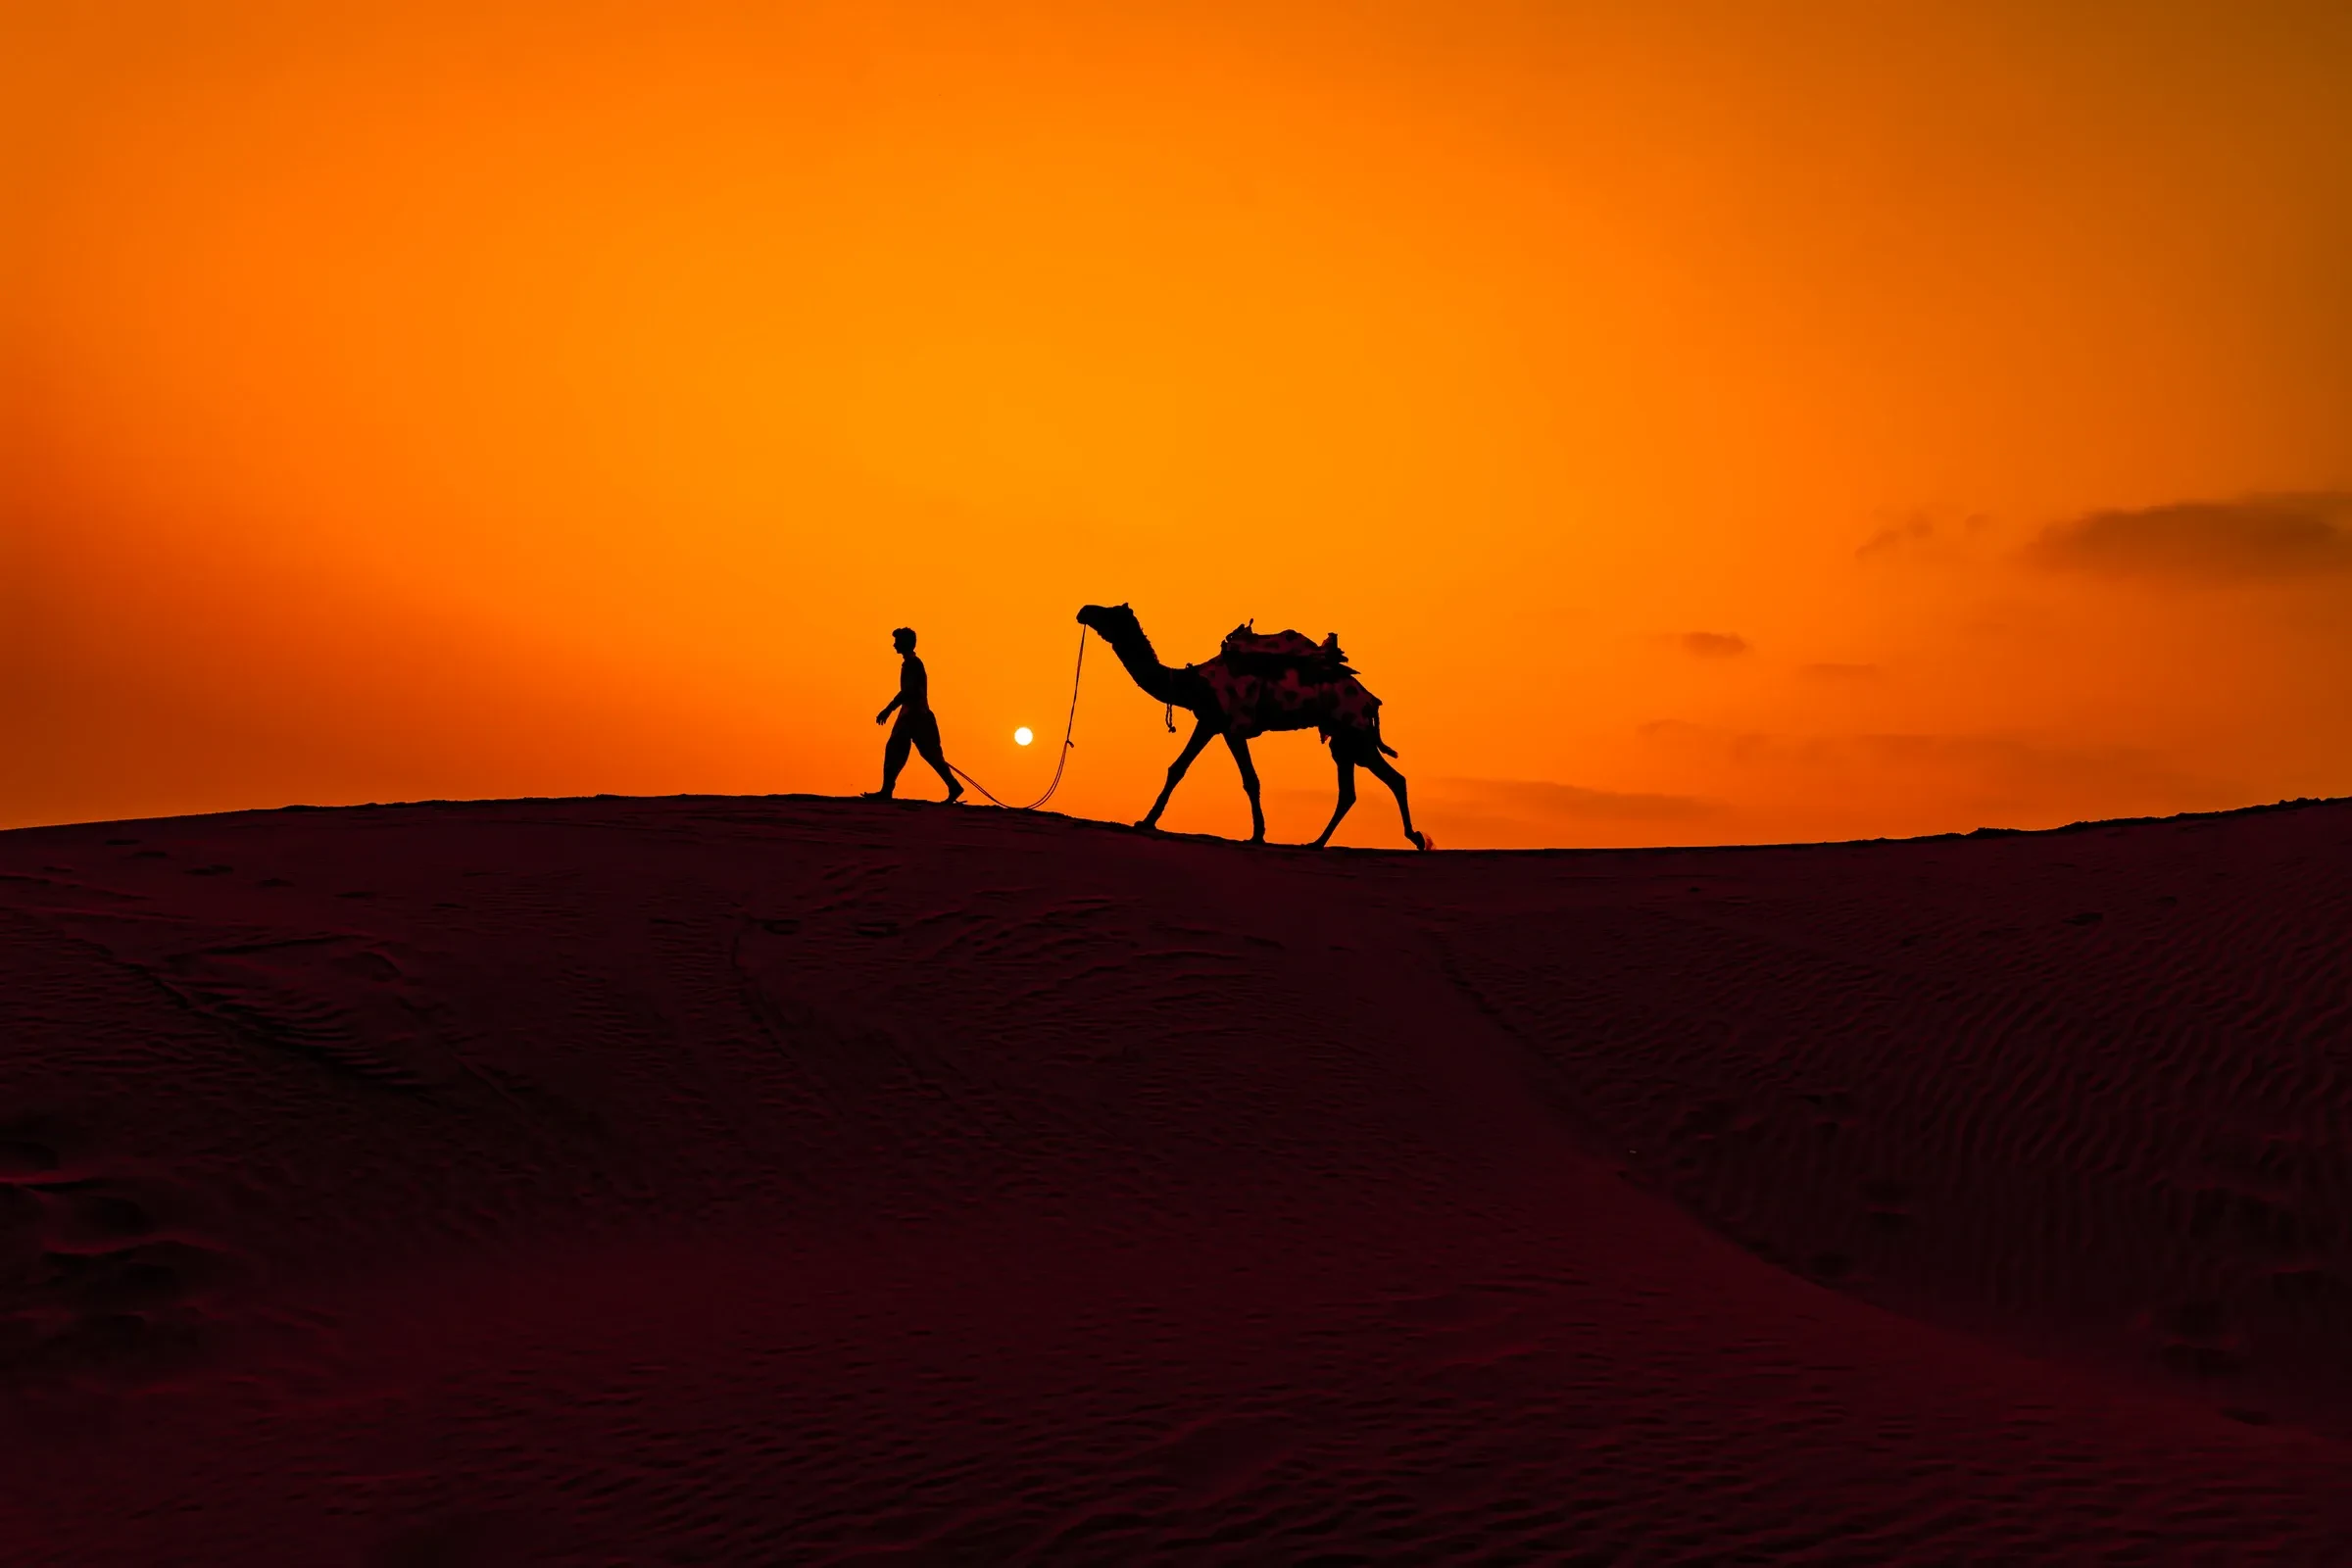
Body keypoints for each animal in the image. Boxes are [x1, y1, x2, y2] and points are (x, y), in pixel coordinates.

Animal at [1076, 603, 1426, 850]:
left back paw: (1415, 838)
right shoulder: (1209, 721)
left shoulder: (1232, 725)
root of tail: (1370, 700)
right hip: (1344, 740)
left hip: (1354, 732)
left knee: (1391, 779)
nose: (1084, 610)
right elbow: (1177, 768)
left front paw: (1258, 835)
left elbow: (1250, 780)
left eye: (1109, 613)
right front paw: (1146, 822)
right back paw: (1316, 843)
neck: (1193, 684)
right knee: (1354, 791)